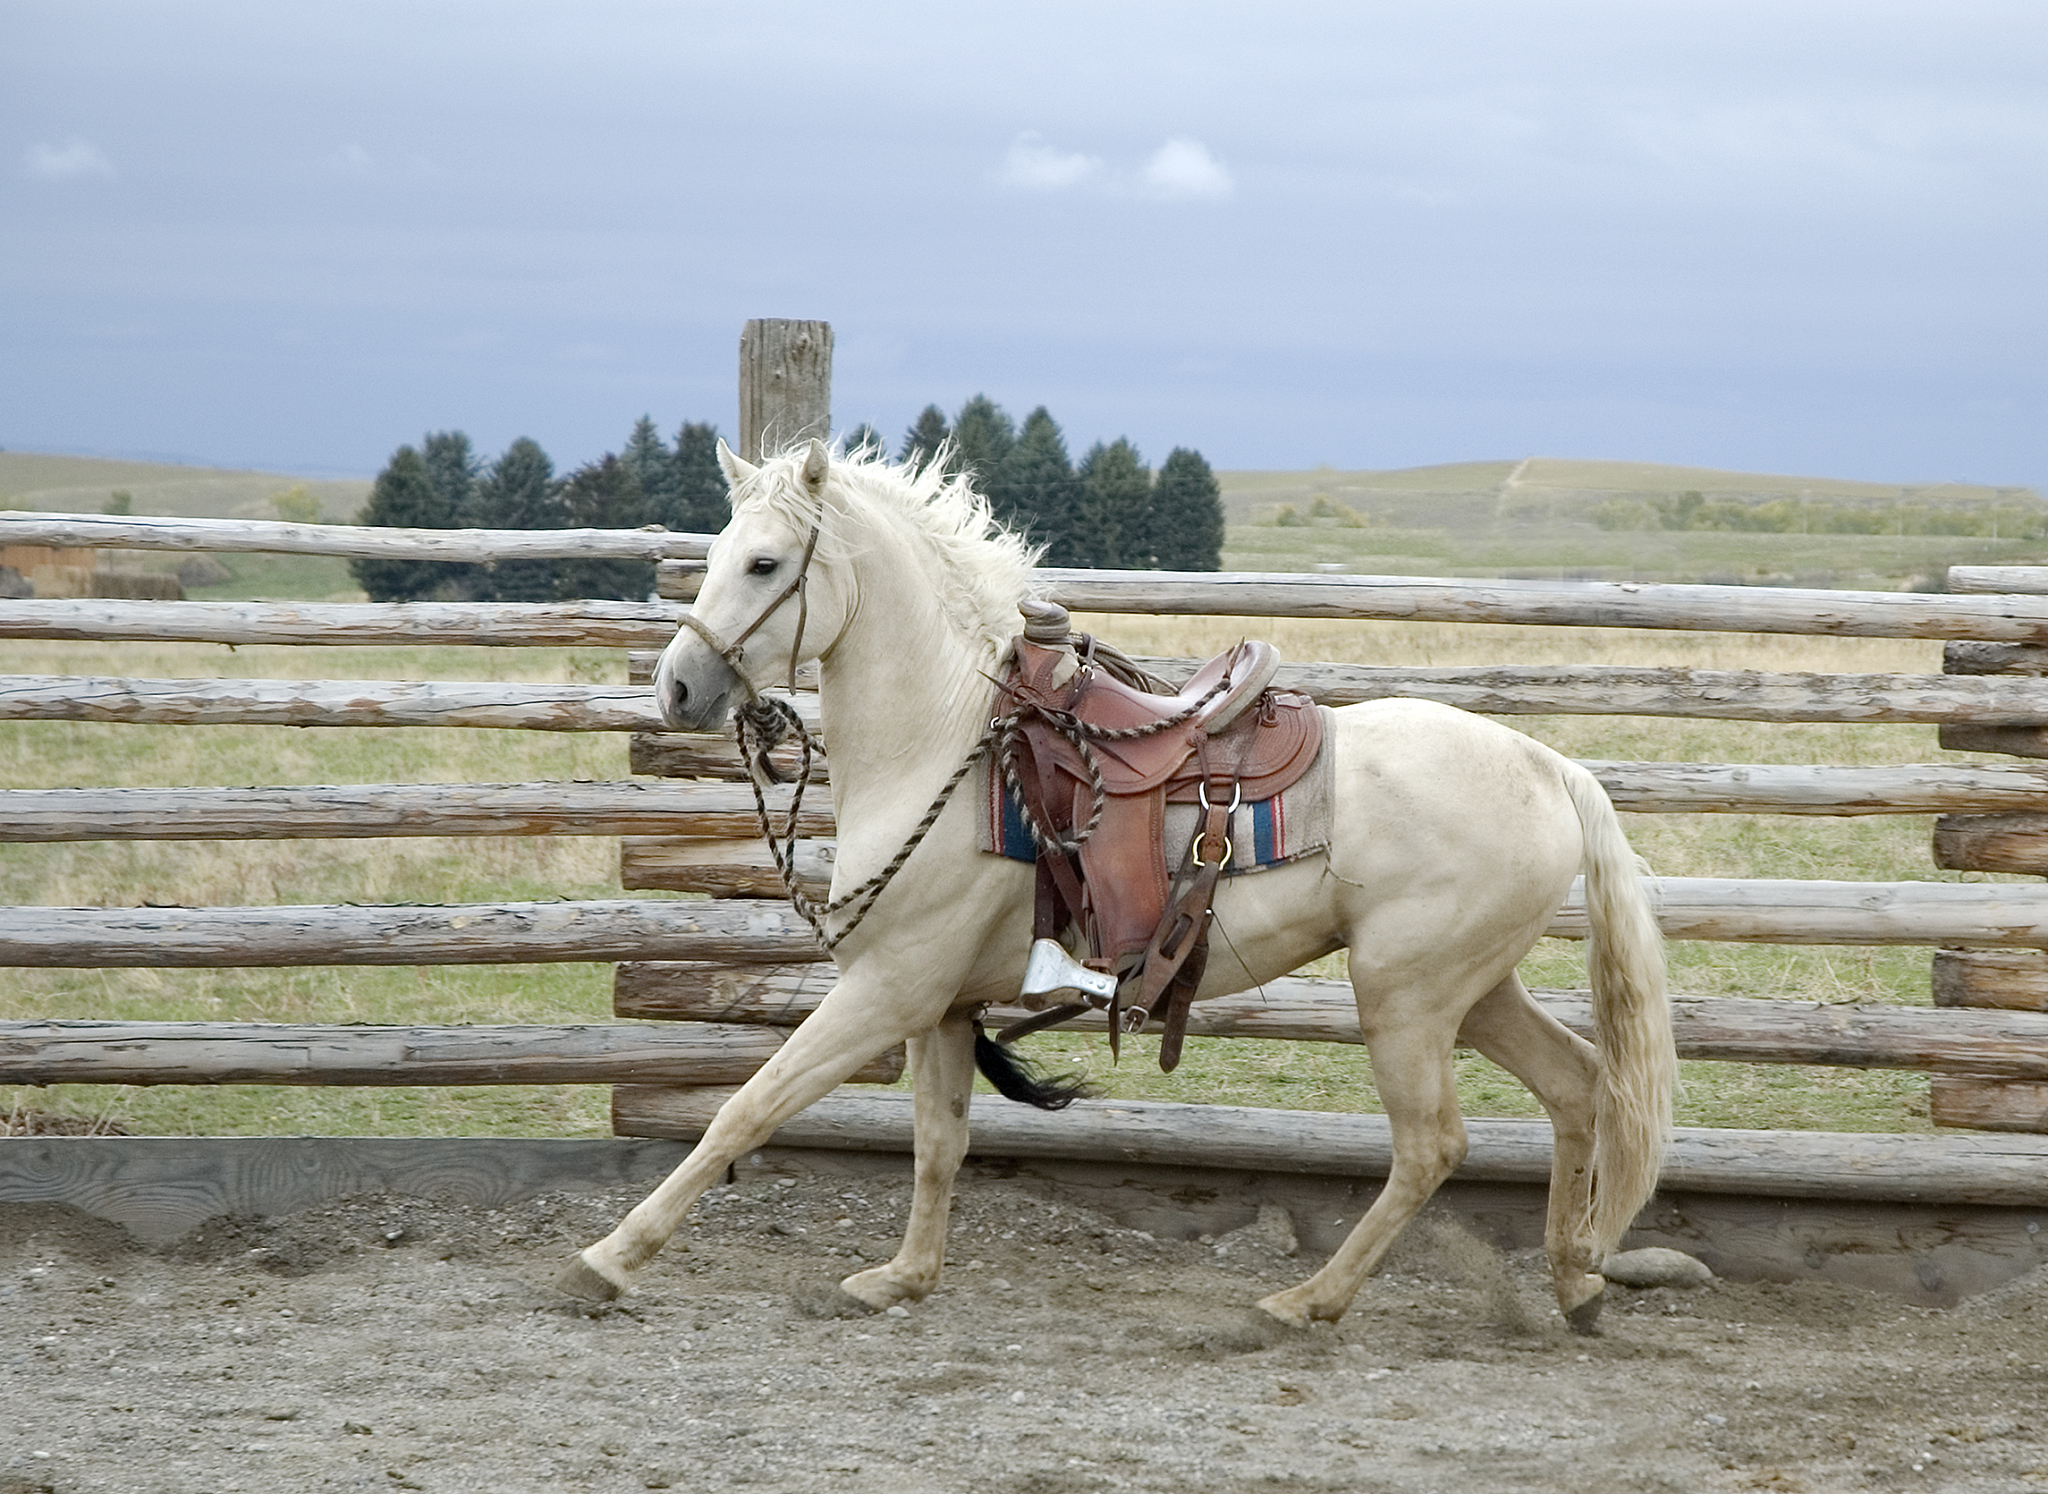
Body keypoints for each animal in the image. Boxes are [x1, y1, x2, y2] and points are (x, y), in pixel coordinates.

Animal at [559, 438, 1675, 1332]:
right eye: (713, 556)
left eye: (764, 562)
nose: (677, 687)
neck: (947, 744)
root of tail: (1549, 766)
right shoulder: (940, 1004)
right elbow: (938, 1141)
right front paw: (902, 1278)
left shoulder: (886, 989)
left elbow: (746, 1109)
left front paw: (607, 1260)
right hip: (1472, 990)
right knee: (1578, 1087)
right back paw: (1574, 1282)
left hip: (1405, 997)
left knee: (1431, 1145)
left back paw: (1303, 1302)